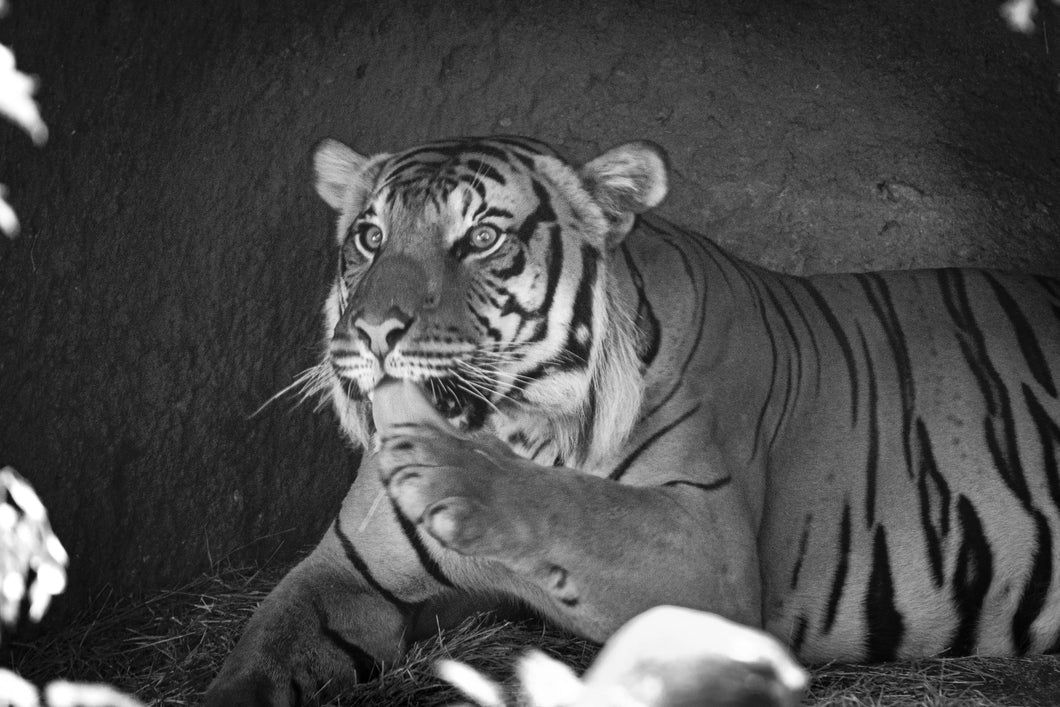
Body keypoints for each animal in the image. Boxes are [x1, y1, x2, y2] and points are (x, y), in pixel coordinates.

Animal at [202, 135, 1060, 703]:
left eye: (483, 236)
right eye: (369, 237)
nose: (374, 331)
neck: (514, 426)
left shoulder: (714, 565)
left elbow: (581, 505)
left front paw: (458, 472)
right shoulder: (340, 571)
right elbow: (259, 652)